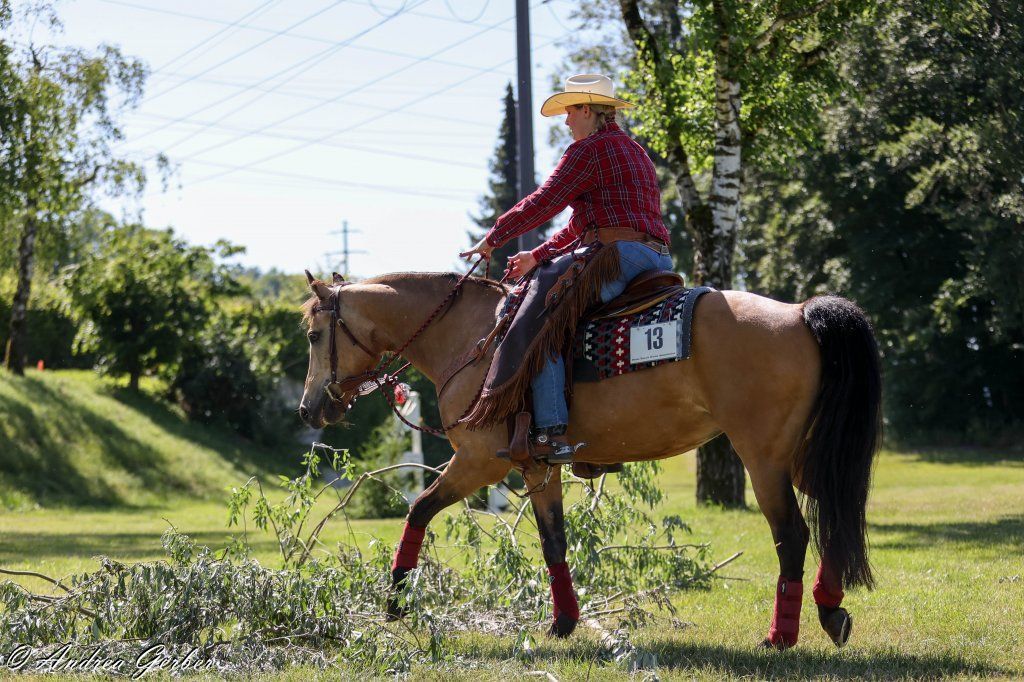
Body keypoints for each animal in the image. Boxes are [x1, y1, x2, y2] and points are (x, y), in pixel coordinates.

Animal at [298, 269, 882, 650]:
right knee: (835, 513)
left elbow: (418, 509)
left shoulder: (479, 462)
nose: (309, 409)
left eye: (313, 334)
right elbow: (553, 541)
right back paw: (831, 609)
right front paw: (563, 623)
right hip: (802, 455)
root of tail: (800, 313)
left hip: (763, 458)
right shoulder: (537, 467)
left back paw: (781, 635)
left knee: (794, 535)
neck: (473, 339)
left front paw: (395, 600)